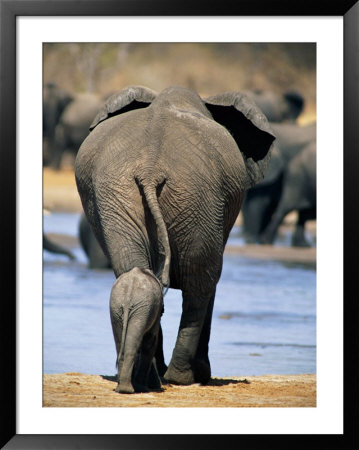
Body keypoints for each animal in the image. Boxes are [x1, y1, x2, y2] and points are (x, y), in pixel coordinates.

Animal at [74, 85, 274, 394]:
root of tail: (150, 167)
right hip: (198, 197)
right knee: (200, 283)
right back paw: (183, 377)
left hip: (122, 195)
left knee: (137, 270)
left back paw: (149, 378)